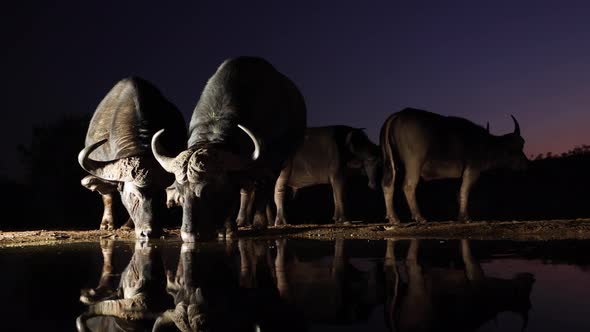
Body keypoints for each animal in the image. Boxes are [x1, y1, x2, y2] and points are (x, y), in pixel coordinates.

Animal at [77, 77, 186, 239]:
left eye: (160, 194)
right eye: (133, 195)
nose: (150, 232)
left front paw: (128, 225)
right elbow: (107, 196)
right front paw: (107, 224)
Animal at [150, 55, 308, 241]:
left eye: (206, 191)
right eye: (181, 195)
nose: (189, 235)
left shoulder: (268, 165)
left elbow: (259, 192)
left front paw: (251, 225)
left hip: (287, 158)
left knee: (276, 188)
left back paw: (276, 220)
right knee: (247, 191)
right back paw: (242, 220)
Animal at [382, 107, 528, 224]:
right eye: (518, 147)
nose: (525, 163)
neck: (485, 144)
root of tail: (399, 114)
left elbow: (459, 194)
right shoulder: (472, 170)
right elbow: (464, 191)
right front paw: (465, 218)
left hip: (391, 164)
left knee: (388, 185)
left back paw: (394, 218)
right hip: (414, 164)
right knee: (408, 186)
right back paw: (420, 217)